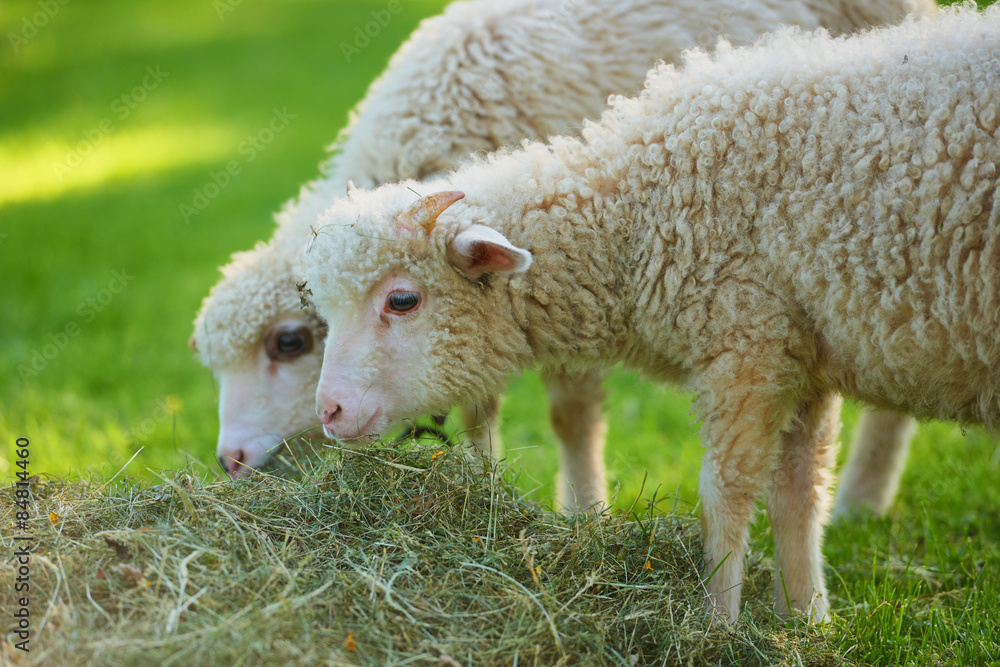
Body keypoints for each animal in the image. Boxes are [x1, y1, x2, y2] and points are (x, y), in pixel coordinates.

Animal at [191, 0, 933, 503]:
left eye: (289, 342)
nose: (229, 458)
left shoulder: (569, 269)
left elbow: (571, 417)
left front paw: (583, 511)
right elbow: (477, 404)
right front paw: (481, 486)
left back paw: (863, 498)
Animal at [301, 5, 1000, 623]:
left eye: (402, 300)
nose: (329, 410)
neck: (640, 211)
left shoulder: (747, 340)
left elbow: (727, 492)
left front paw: (716, 623)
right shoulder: (803, 346)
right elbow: (798, 492)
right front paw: (807, 622)